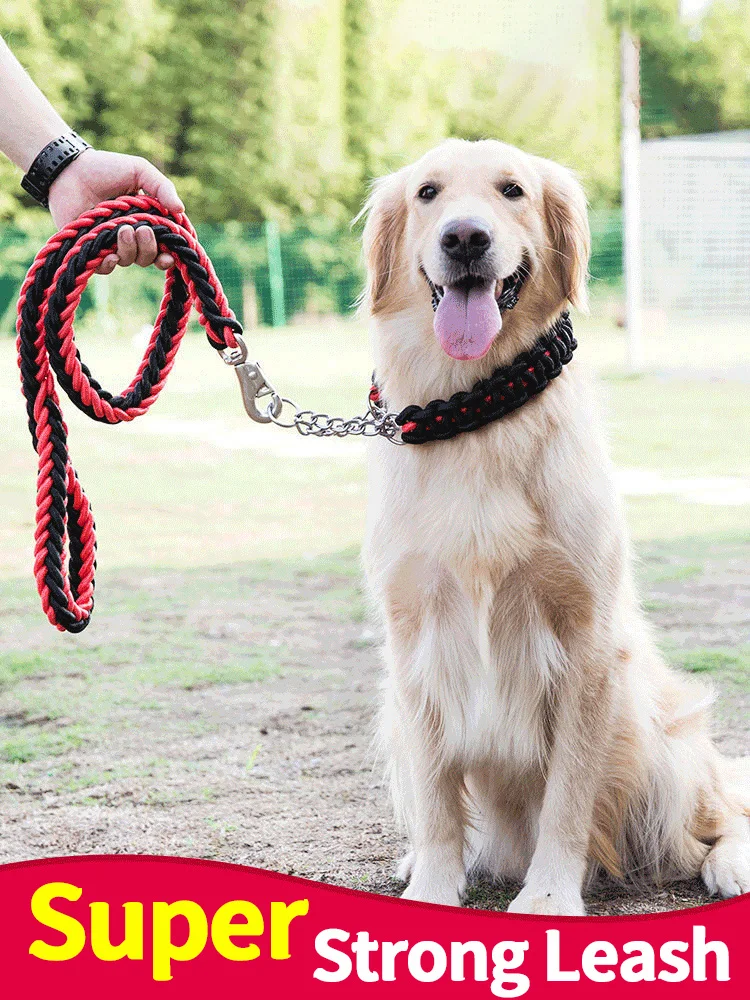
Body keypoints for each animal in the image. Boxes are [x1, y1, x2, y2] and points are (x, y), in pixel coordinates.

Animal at [359, 138, 750, 915]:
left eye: (512, 190)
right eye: (427, 193)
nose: (465, 238)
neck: (474, 411)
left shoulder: (586, 640)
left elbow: (569, 794)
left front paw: (548, 897)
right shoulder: (414, 640)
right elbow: (438, 797)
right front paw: (434, 884)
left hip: (656, 736)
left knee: (721, 810)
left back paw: (730, 863)